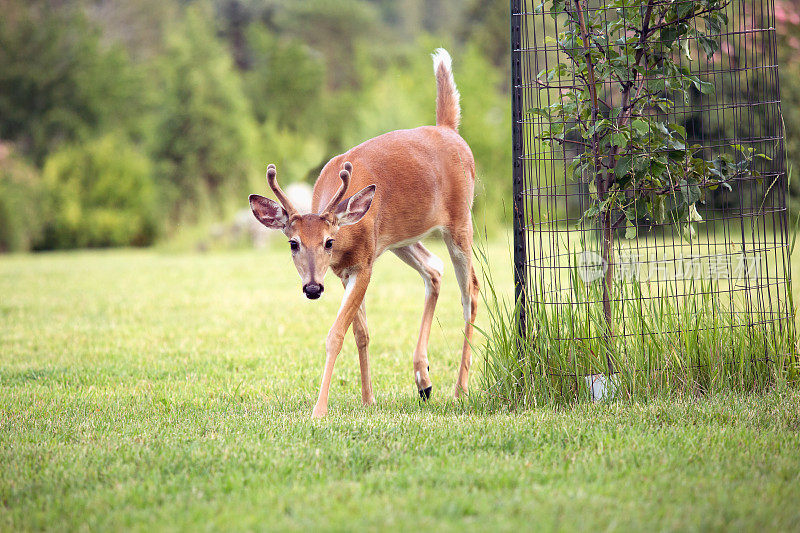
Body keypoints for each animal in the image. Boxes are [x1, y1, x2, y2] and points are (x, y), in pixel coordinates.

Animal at [247, 47, 478, 418]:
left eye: (328, 241)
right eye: (293, 243)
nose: (312, 288)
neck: (346, 237)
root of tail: (449, 129)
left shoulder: (365, 263)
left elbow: (336, 334)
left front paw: (319, 410)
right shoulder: (343, 270)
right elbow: (361, 333)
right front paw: (368, 399)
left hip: (459, 220)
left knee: (470, 290)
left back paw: (460, 390)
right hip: (401, 238)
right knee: (434, 269)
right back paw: (423, 380)